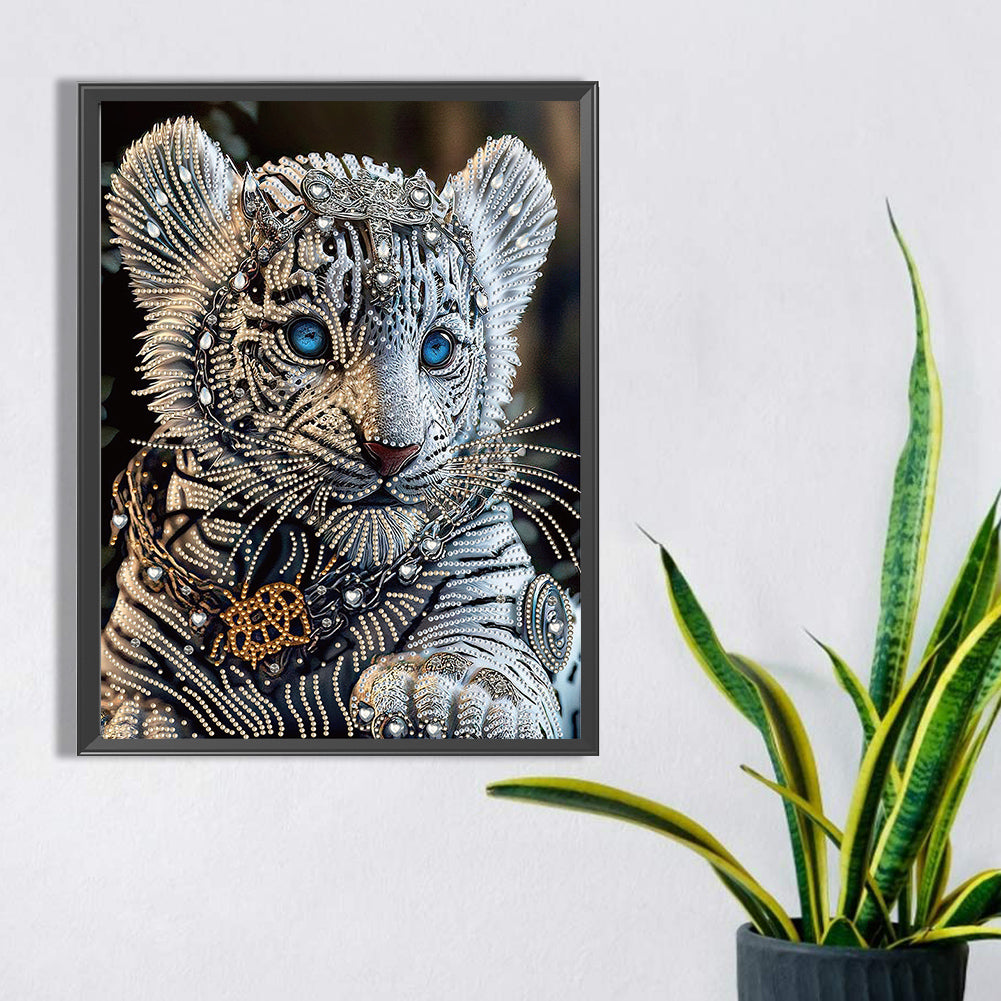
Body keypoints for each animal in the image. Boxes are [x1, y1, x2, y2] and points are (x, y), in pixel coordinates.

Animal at [99, 117, 579, 741]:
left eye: (438, 348)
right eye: (307, 338)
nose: (392, 452)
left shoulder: (495, 602)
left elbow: (487, 657)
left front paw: (443, 696)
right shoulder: (133, 676)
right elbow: (143, 717)